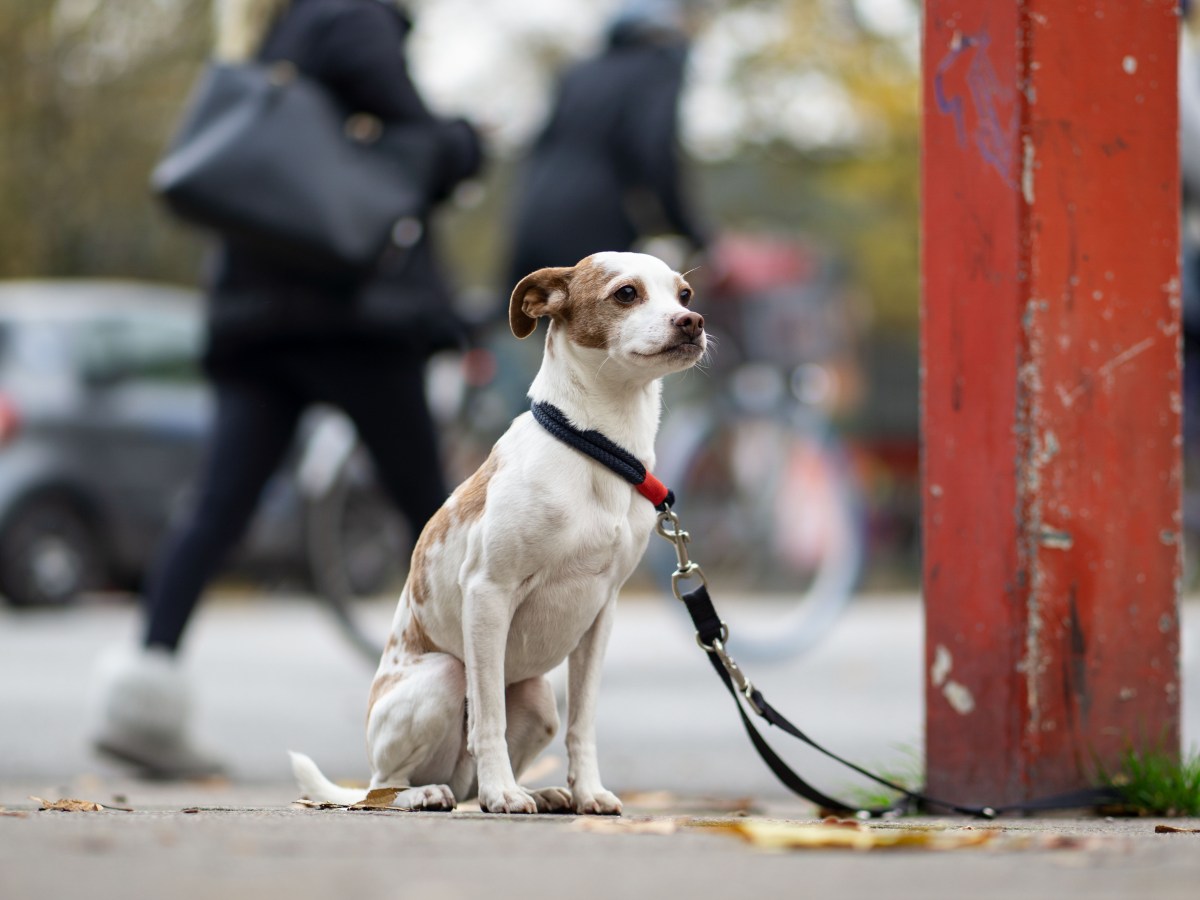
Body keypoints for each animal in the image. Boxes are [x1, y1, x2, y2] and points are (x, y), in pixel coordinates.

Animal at [290, 252, 700, 816]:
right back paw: (428, 793)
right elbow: (488, 718)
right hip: (443, 678)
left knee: (474, 775)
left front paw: (586, 792)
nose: (692, 322)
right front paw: (502, 793)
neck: (597, 449)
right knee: (383, 783)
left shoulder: (601, 614)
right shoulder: (489, 594)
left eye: (684, 295)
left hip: (538, 696)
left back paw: (537, 792)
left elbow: (583, 723)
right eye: (625, 293)